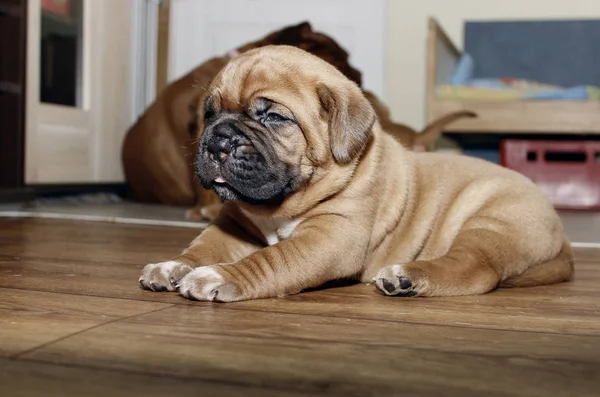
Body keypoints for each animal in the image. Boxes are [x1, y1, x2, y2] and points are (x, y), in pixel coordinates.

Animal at [138, 46, 576, 300]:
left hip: (490, 223)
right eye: (210, 113)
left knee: (477, 270)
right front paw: (172, 265)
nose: (218, 141)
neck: (277, 207)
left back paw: (407, 277)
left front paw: (215, 277)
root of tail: (562, 240)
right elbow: (200, 248)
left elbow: (273, 259)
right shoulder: (233, 227)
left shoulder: (331, 237)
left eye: (274, 117)